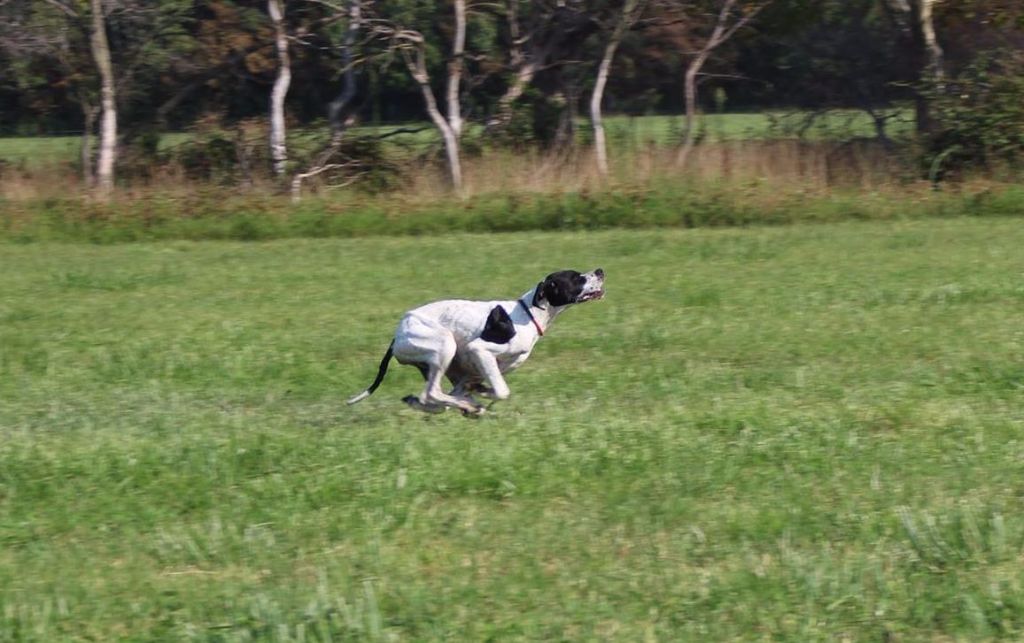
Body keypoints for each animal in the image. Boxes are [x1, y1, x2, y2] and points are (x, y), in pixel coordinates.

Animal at [348, 268, 602, 413]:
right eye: (575, 277)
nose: (600, 271)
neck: (528, 313)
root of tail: (398, 334)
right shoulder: (480, 351)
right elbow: (501, 391)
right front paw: (481, 399)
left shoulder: (469, 373)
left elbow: (470, 388)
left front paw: (477, 396)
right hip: (445, 345)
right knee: (431, 394)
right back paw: (468, 407)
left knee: (431, 397)